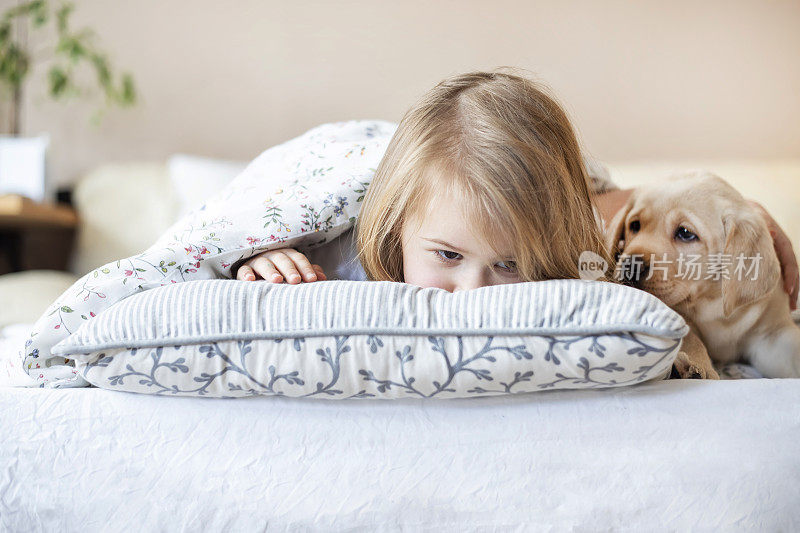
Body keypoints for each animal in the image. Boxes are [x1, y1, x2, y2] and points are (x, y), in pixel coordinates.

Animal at [608, 170, 800, 378]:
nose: (630, 265)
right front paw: (698, 367)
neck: (712, 304)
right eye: (634, 225)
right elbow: (690, 336)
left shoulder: (772, 334)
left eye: (685, 233)